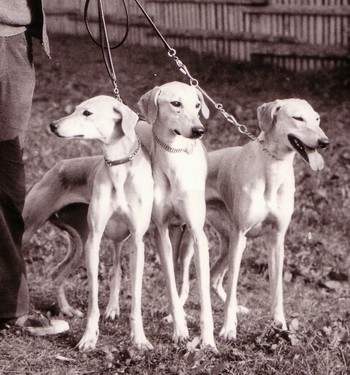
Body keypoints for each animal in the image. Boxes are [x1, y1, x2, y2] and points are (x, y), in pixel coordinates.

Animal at [39, 96, 153, 352]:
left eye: (87, 113)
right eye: (75, 109)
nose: (52, 125)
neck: (118, 168)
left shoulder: (137, 243)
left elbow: (136, 295)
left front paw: (139, 338)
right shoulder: (94, 241)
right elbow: (93, 299)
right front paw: (89, 337)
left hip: (87, 244)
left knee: (67, 274)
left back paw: (77, 309)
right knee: (56, 273)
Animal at [138, 81, 217, 352]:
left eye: (197, 104)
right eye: (175, 103)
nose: (199, 130)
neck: (174, 157)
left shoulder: (198, 235)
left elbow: (203, 294)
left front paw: (208, 340)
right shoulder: (160, 232)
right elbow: (170, 287)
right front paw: (180, 331)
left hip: (188, 244)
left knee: (185, 276)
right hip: (173, 239)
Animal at [176, 97, 330, 340]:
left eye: (317, 119)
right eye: (298, 118)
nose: (324, 142)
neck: (273, 167)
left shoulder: (276, 239)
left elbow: (276, 290)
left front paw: (280, 326)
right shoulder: (241, 234)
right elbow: (232, 286)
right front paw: (228, 329)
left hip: (230, 242)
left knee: (214, 278)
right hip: (196, 241)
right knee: (185, 281)